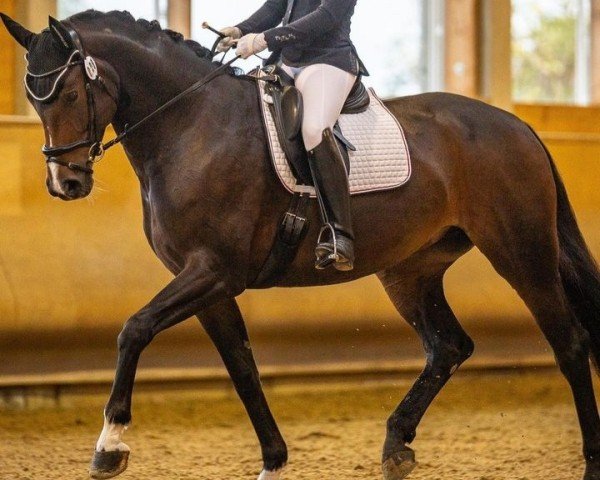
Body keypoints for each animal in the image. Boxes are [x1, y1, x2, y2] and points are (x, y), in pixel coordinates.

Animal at [1, 10, 600, 480]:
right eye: (33, 99)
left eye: (70, 93)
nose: (66, 183)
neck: (190, 126)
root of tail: (517, 126)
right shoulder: (207, 283)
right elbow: (242, 367)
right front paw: (274, 460)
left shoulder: (214, 270)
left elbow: (134, 330)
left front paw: (109, 446)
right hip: (410, 271)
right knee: (448, 346)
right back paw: (396, 447)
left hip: (521, 252)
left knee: (569, 344)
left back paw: (591, 459)